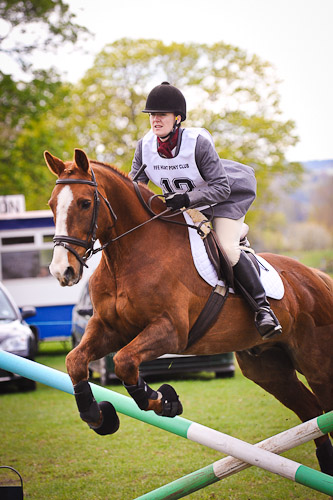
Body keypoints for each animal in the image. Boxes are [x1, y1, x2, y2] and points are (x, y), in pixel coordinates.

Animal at [44, 149, 332, 476]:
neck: (129, 256)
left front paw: (163, 400)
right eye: (52, 204)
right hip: (268, 369)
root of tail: (317, 277)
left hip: (318, 365)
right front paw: (99, 416)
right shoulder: (109, 329)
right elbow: (75, 361)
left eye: (84, 203)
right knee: (311, 412)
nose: (62, 271)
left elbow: (124, 362)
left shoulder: (171, 332)